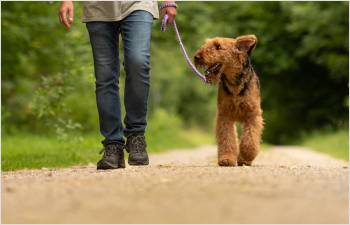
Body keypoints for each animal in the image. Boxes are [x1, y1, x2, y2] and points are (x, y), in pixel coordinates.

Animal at [194, 34, 262, 166]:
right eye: (206, 44)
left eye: (218, 46)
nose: (197, 56)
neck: (234, 84)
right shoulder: (225, 114)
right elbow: (227, 138)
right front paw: (226, 159)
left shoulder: (253, 114)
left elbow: (250, 139)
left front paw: (245, 158)